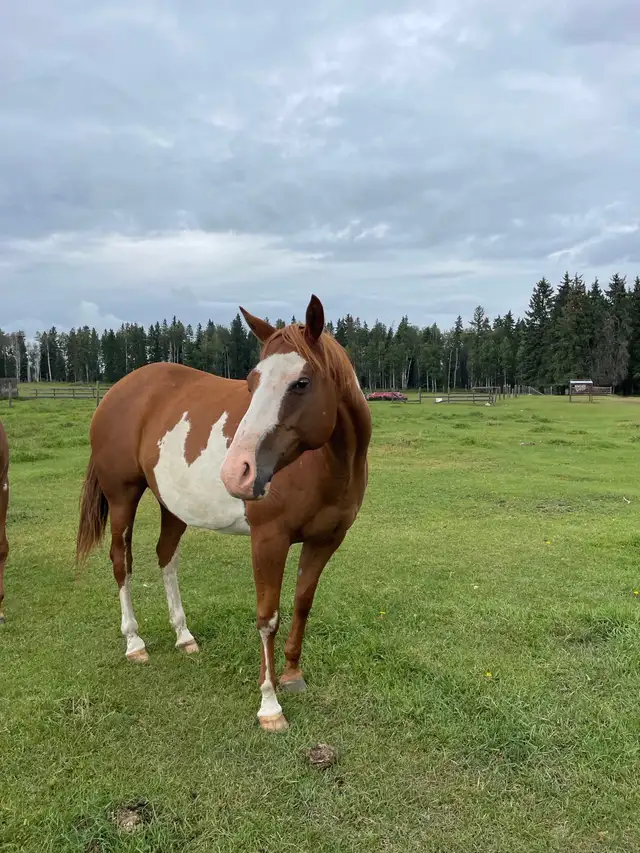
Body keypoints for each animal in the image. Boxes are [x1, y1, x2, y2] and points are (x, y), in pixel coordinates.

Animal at [76, 295, 372, 731]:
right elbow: (267, 617)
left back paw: (184, 636)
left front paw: (292, 676)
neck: (329, 463)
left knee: (166, 558)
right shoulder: (269, 539)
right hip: (122, 496)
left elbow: (302, 604)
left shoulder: (326, 540)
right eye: (251, 382)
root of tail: (117, 391)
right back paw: (134, 642)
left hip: (171, 505)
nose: (236, 472)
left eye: (301, 383)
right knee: (121, 561)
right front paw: (269, 705)